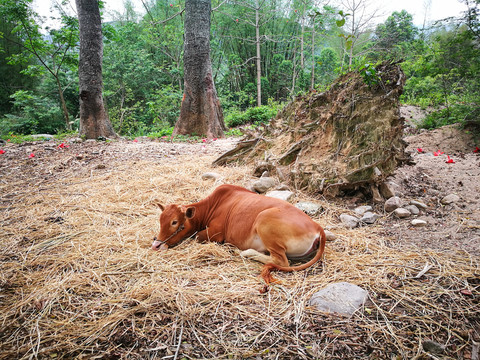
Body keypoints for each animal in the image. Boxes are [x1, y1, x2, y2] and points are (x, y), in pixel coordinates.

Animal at [154, 186, 326, 284]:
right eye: (160, 220)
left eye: (175, 222)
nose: (156, 244)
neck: (212, 205)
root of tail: (317, 227)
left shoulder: (216, 233)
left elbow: (195, 236)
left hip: (264, 221)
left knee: (281, 261)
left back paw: (244, 252)